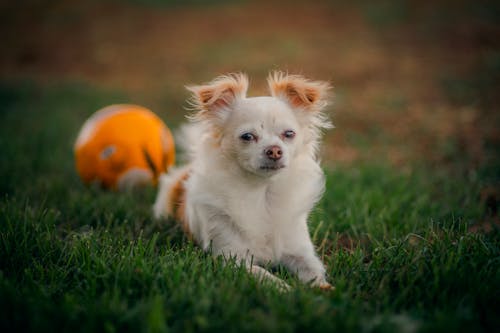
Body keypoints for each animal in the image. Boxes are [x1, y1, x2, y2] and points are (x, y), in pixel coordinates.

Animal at [152, 71, 332, 290]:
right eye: (247, 136)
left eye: (289, 134)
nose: (274, 150)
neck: (262, 193)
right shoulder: (233, 258)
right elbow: (264, 275)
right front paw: (286, 290)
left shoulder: (300, 252)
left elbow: (314, 271)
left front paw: (324, 289)